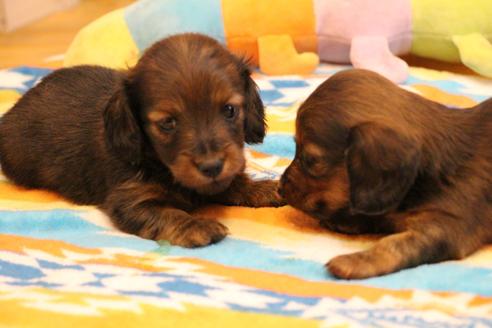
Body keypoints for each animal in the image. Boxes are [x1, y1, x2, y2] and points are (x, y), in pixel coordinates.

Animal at [0, 34, 282, 249]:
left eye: (229, 110)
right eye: (167, 122)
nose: (211, 166)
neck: (161, 165)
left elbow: (235, 182)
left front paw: (270, 188)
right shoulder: (130, 200)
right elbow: (166, 212)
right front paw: (195, 225)